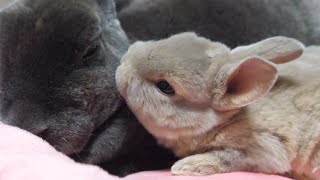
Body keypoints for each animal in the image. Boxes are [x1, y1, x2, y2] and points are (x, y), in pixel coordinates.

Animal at [115, 32, 320, 180]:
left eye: (165, 87)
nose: (122, 64)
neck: (230, 119)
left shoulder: (265, 150)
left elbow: (228, 157)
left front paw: (187, 166)